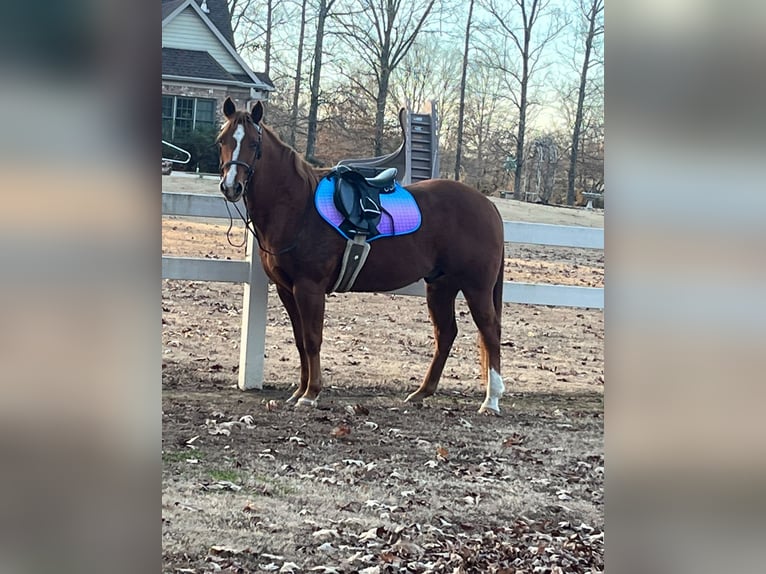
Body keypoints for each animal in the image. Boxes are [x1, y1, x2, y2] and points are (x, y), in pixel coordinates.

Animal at [219, 99, 508, 414]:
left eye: (253, 143)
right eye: (222, 140)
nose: (231, 187)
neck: (299, 207)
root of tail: (487, 205)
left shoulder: (309, 288)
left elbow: (312, 339)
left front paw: (311, 393)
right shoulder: (287, 289)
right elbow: (299, 340)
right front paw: (298, 392)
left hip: (476, 288)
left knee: (490, 332)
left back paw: (491, 400)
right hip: (441, 286)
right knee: (446, 334)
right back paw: (421, 392)